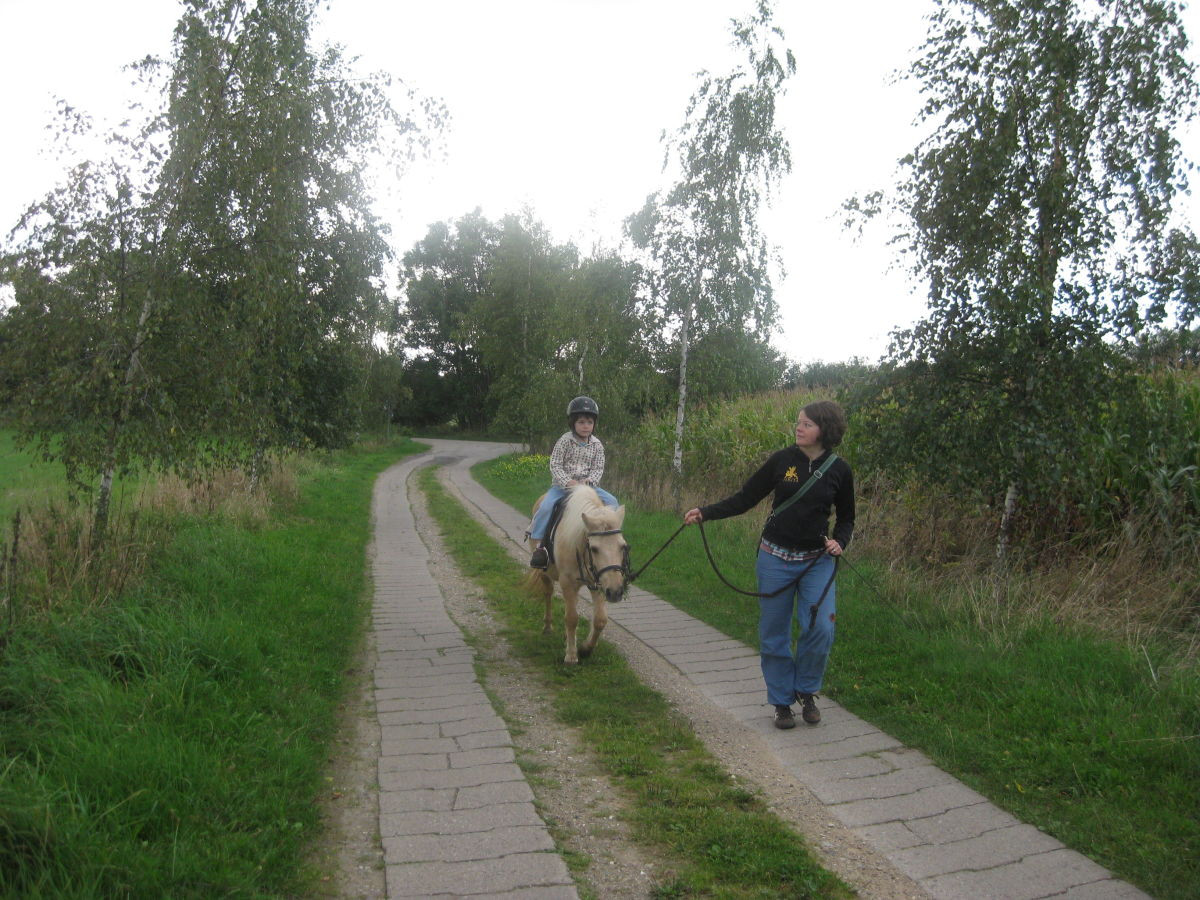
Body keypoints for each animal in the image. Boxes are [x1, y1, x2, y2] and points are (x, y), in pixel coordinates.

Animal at [528, 487, 633, 662]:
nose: (616, 592)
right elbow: (572, 618)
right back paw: (548, 627)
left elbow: (600, 620)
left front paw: (585, 649)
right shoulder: (568, 582)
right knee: (548, 593)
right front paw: (571, 655)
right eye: (595, 549)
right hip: (545, 573)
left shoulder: (599, 583)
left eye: (623, 546)